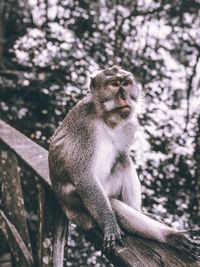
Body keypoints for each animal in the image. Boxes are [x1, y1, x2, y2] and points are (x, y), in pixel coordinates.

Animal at [48, 65, 200, 266]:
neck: (105, 118)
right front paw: (110, 224)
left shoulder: (128, 125)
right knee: (113, 203)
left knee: (123, 160)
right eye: (114, 84)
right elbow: (84, 177)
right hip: (81, 213)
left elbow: (122, 154)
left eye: (126, 83)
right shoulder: (84, 128)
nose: (124, 96)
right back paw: (171, 237)